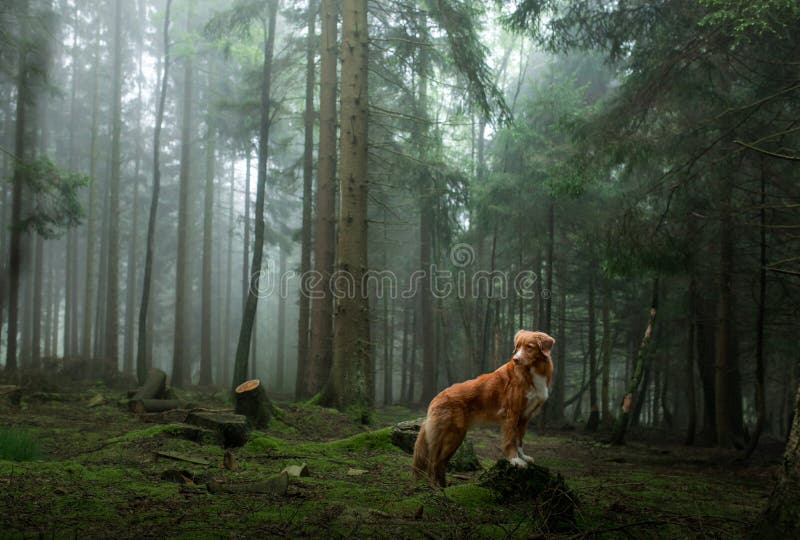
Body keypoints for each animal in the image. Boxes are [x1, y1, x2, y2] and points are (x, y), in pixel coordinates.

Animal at [412, 330, 552, 486]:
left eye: (529, 347)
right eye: (518, 346)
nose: (515, 359)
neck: (532, 371)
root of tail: (435, 398)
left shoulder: (524, 417)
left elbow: (519, 439)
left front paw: (523, 456)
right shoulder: (512, 413)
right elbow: (510, 440)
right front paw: (515, 460)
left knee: (439, 463)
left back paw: (443, 487)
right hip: (453, 436)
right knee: (434, 463)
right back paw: (437, 487)